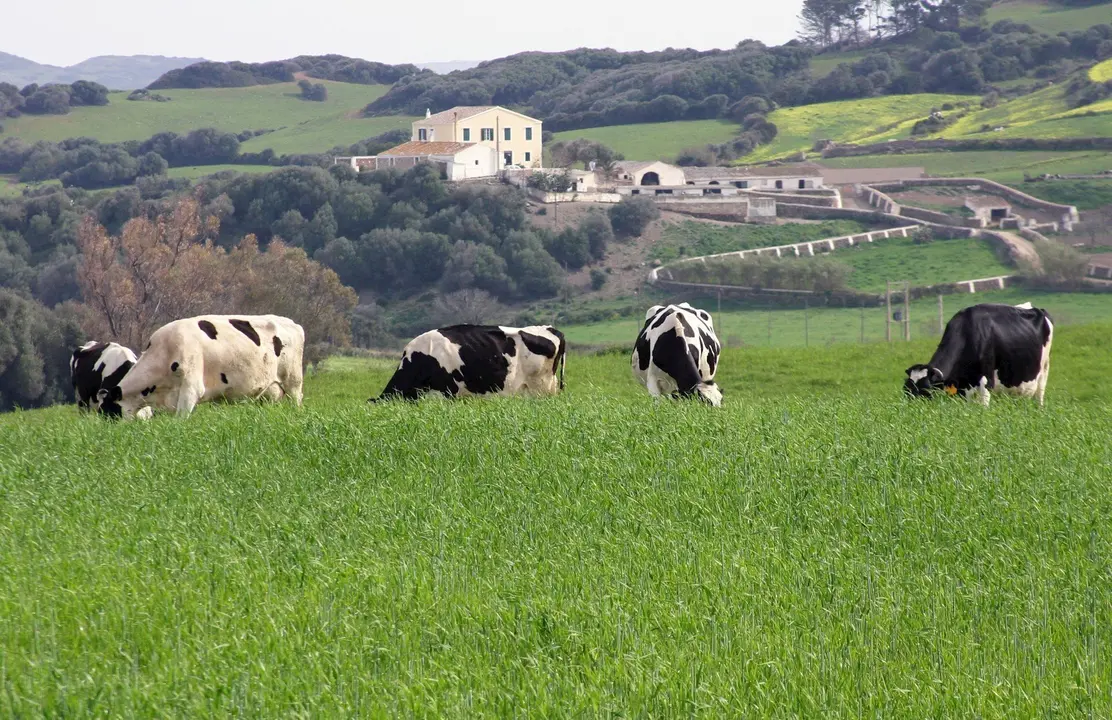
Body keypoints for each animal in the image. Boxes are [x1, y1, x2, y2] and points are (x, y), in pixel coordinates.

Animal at [97, 314, 305, 419]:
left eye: (108, 411)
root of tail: (293, 323)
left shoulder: (190, 389)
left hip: (293, 382)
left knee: (296, 400)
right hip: (269, 392)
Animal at [904, 302, 1053, 406]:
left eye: (926, 390)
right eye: (906, 390)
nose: (914, 411)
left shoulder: (986, 384)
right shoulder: (962, 389)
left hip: (1044, 370)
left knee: (1040, 395)